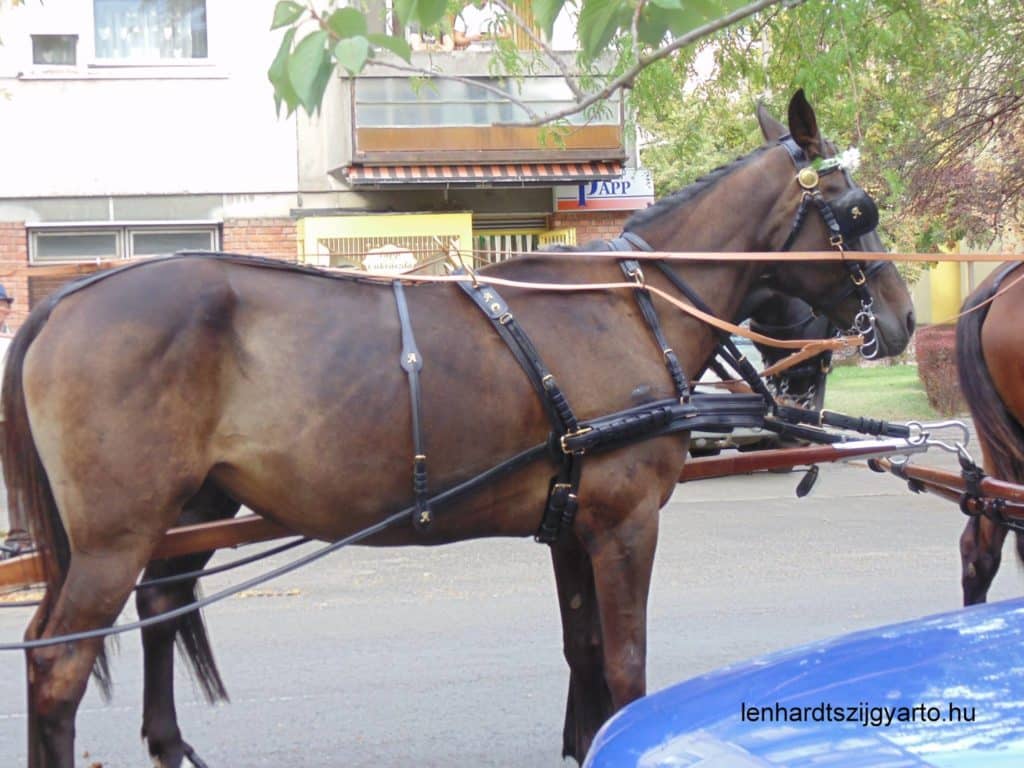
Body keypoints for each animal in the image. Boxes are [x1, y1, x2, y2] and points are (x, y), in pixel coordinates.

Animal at [0, 91, 913, 768]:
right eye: (856, 207)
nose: (901, 316)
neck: (628, 305)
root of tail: (64, 300)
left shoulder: (572, 523)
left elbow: (584, 654)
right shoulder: (624, 523)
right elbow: (625, 667)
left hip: (183, 510)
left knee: (145, 611)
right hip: (116, 535)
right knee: (57, 661)